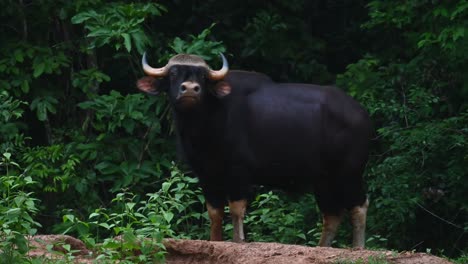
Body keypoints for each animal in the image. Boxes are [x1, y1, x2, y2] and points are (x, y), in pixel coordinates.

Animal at [137, 53, 372, 248]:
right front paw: (215, 240)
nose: (190, 89)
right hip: (323, 180)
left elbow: (236, 208)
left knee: (359, 205)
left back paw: (357, 247)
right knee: (332, 214)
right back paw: (322, 247)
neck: (206, 123)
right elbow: (214, 212)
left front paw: (238, 240)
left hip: (349, 173)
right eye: (173, 73)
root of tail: (361, 114)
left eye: (203, 77)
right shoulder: (206, 174)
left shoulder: (238, 172)